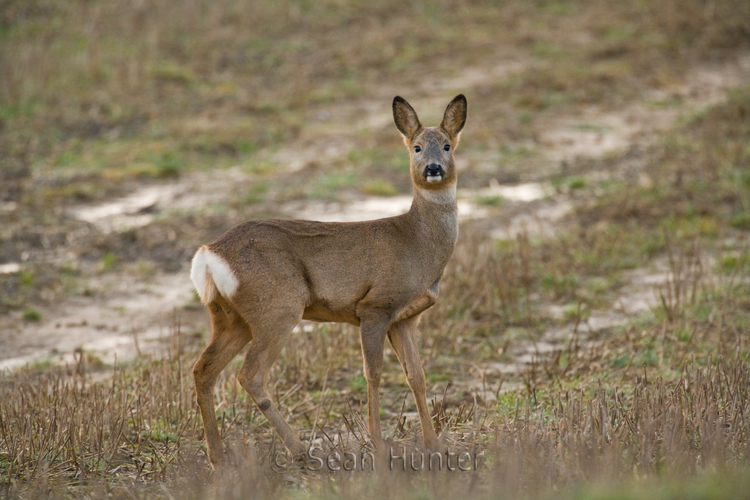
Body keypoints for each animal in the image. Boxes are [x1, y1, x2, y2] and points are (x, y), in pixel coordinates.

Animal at [191, 94, 468, 468]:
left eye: (448, 145)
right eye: (417, 147)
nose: (433, 168)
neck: (417, 242)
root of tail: (209, 254)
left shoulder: (405, 317)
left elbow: (417, 376)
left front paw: (434, 444)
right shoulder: (375, 307)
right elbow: (373, 374)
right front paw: (378, 443)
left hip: (232, 318)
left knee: (203, 370)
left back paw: (218, 457)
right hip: (278, 308)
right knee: (249, 374)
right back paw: (298, 449)